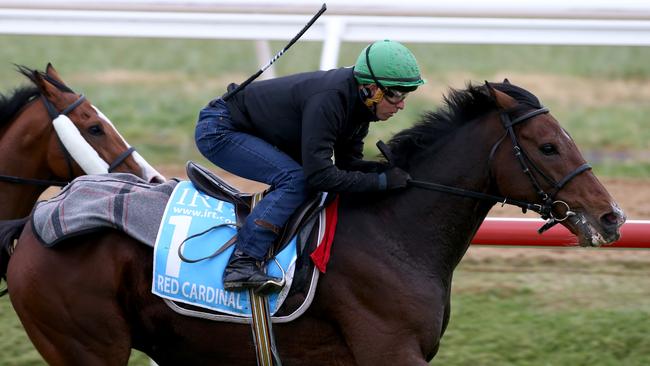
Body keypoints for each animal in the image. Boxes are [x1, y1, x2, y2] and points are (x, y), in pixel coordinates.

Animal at [0, 81, 624, 366]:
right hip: (86, 346)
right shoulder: (390, 350)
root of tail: (35, 224)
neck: (396, 230)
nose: (611, 216)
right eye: (548, 146)